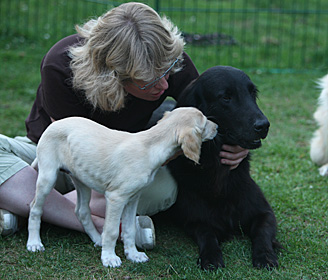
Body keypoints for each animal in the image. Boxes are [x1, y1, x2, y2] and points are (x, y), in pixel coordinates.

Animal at [26, 106, 219, 266]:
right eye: (204, 123)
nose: (217, 127)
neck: (150, 146)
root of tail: (53, 125)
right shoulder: (116, 198)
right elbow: (112, 230)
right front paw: (109, 258)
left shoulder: (133, 198)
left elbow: (129, 229)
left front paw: (133, 254)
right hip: (48, 176)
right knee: (35, 208)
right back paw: (34, 243)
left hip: (82, 180)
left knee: (81, 211)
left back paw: (97, 239)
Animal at [165, 66, 278, 272]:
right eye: (226, 97)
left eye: (252, 93)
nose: (264, 125)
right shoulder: (194, 219)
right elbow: (206, 233)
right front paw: (210, 256)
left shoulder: (264, 212)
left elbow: (262, 232)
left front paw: (265, 255)